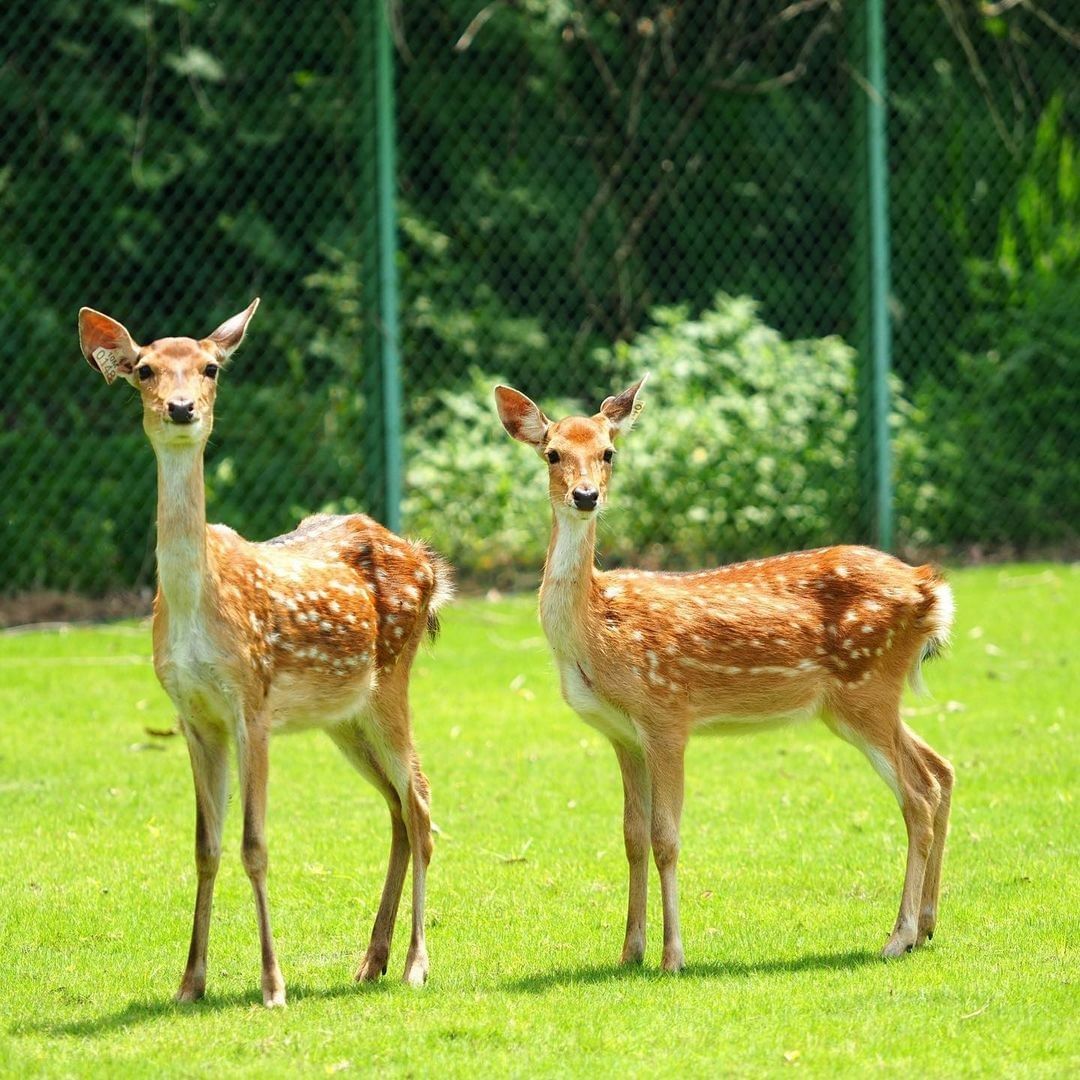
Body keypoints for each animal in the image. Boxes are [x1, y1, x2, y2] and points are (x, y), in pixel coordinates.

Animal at [75, 302, 447, 1002]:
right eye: (145, 369)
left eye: (211, 367)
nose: (182, 408)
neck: (197, 607)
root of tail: (430, 565)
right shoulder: (194, 715)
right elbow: (205, 846)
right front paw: (190, 982)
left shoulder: (252, 703)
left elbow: (254, 844)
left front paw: (273, 985)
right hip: (343, 716)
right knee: (395, 807)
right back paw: (372, 960)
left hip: (392, 680)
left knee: (420, 803)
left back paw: (415, 963)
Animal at [492, 378, 954, 972]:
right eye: (552, 453)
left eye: (608, 452)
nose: (586, 495)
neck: (596, 631)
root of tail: (930, 590)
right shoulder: (622, 734)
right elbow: (632, 837)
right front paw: (629, 951)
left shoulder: (667, 714)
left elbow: (666, 838)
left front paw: (672, 956)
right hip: (861, 701)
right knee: (940, 770)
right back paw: (926, 926)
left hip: (867, 689)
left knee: (917, 795)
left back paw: (897, 937)